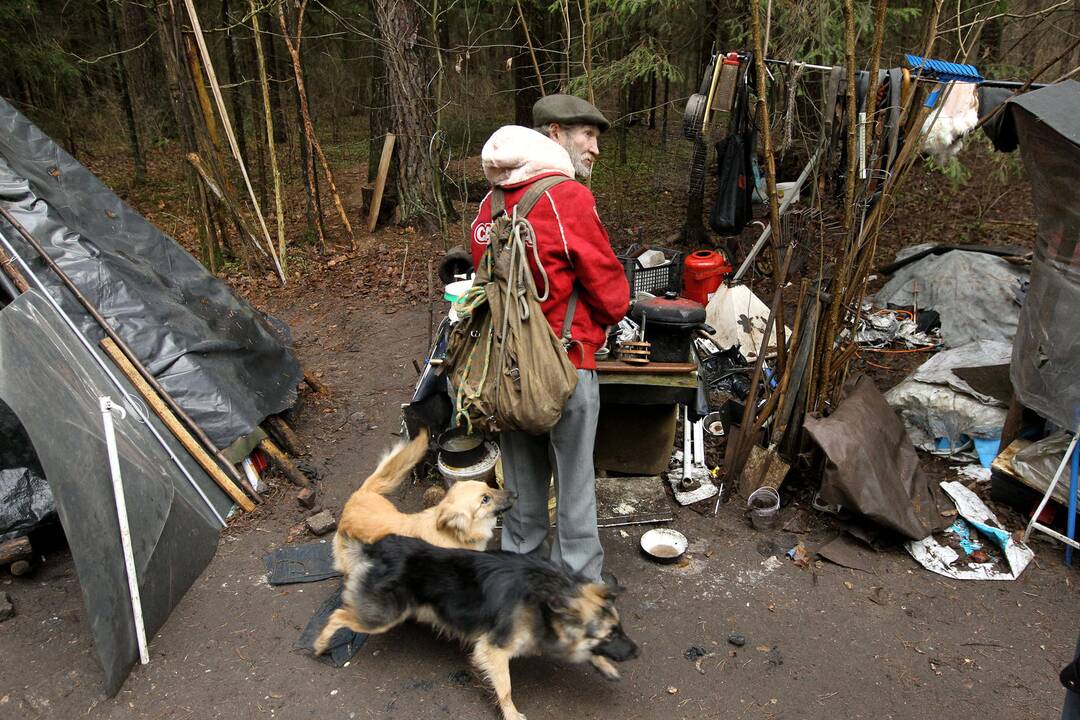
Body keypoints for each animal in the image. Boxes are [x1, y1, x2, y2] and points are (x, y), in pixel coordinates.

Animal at [315, 535, 639, 720]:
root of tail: (378, 548)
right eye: (610, 634)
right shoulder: (493, 649)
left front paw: (606, 667)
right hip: (382, 616)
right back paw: (320, 644)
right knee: (338, 615)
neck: (549, 595)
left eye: (619, 628)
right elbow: (505, 688)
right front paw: (511, 714)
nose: (637, 652)